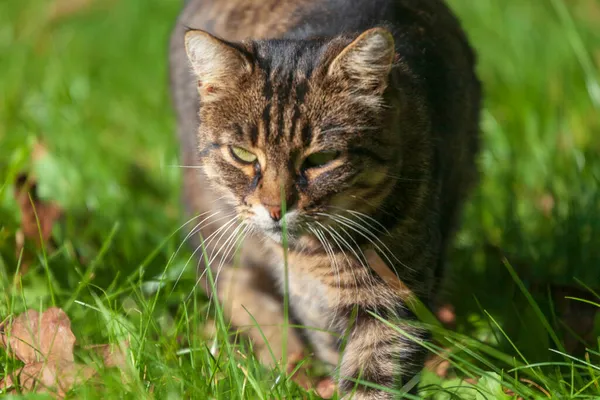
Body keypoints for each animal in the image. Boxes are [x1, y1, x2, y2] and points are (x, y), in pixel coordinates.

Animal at [169, 0, 482, 396]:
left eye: (321, 159)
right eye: (242, 154)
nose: (275, 208)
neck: (310, 255)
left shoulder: (390, 300)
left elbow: (373, 374)